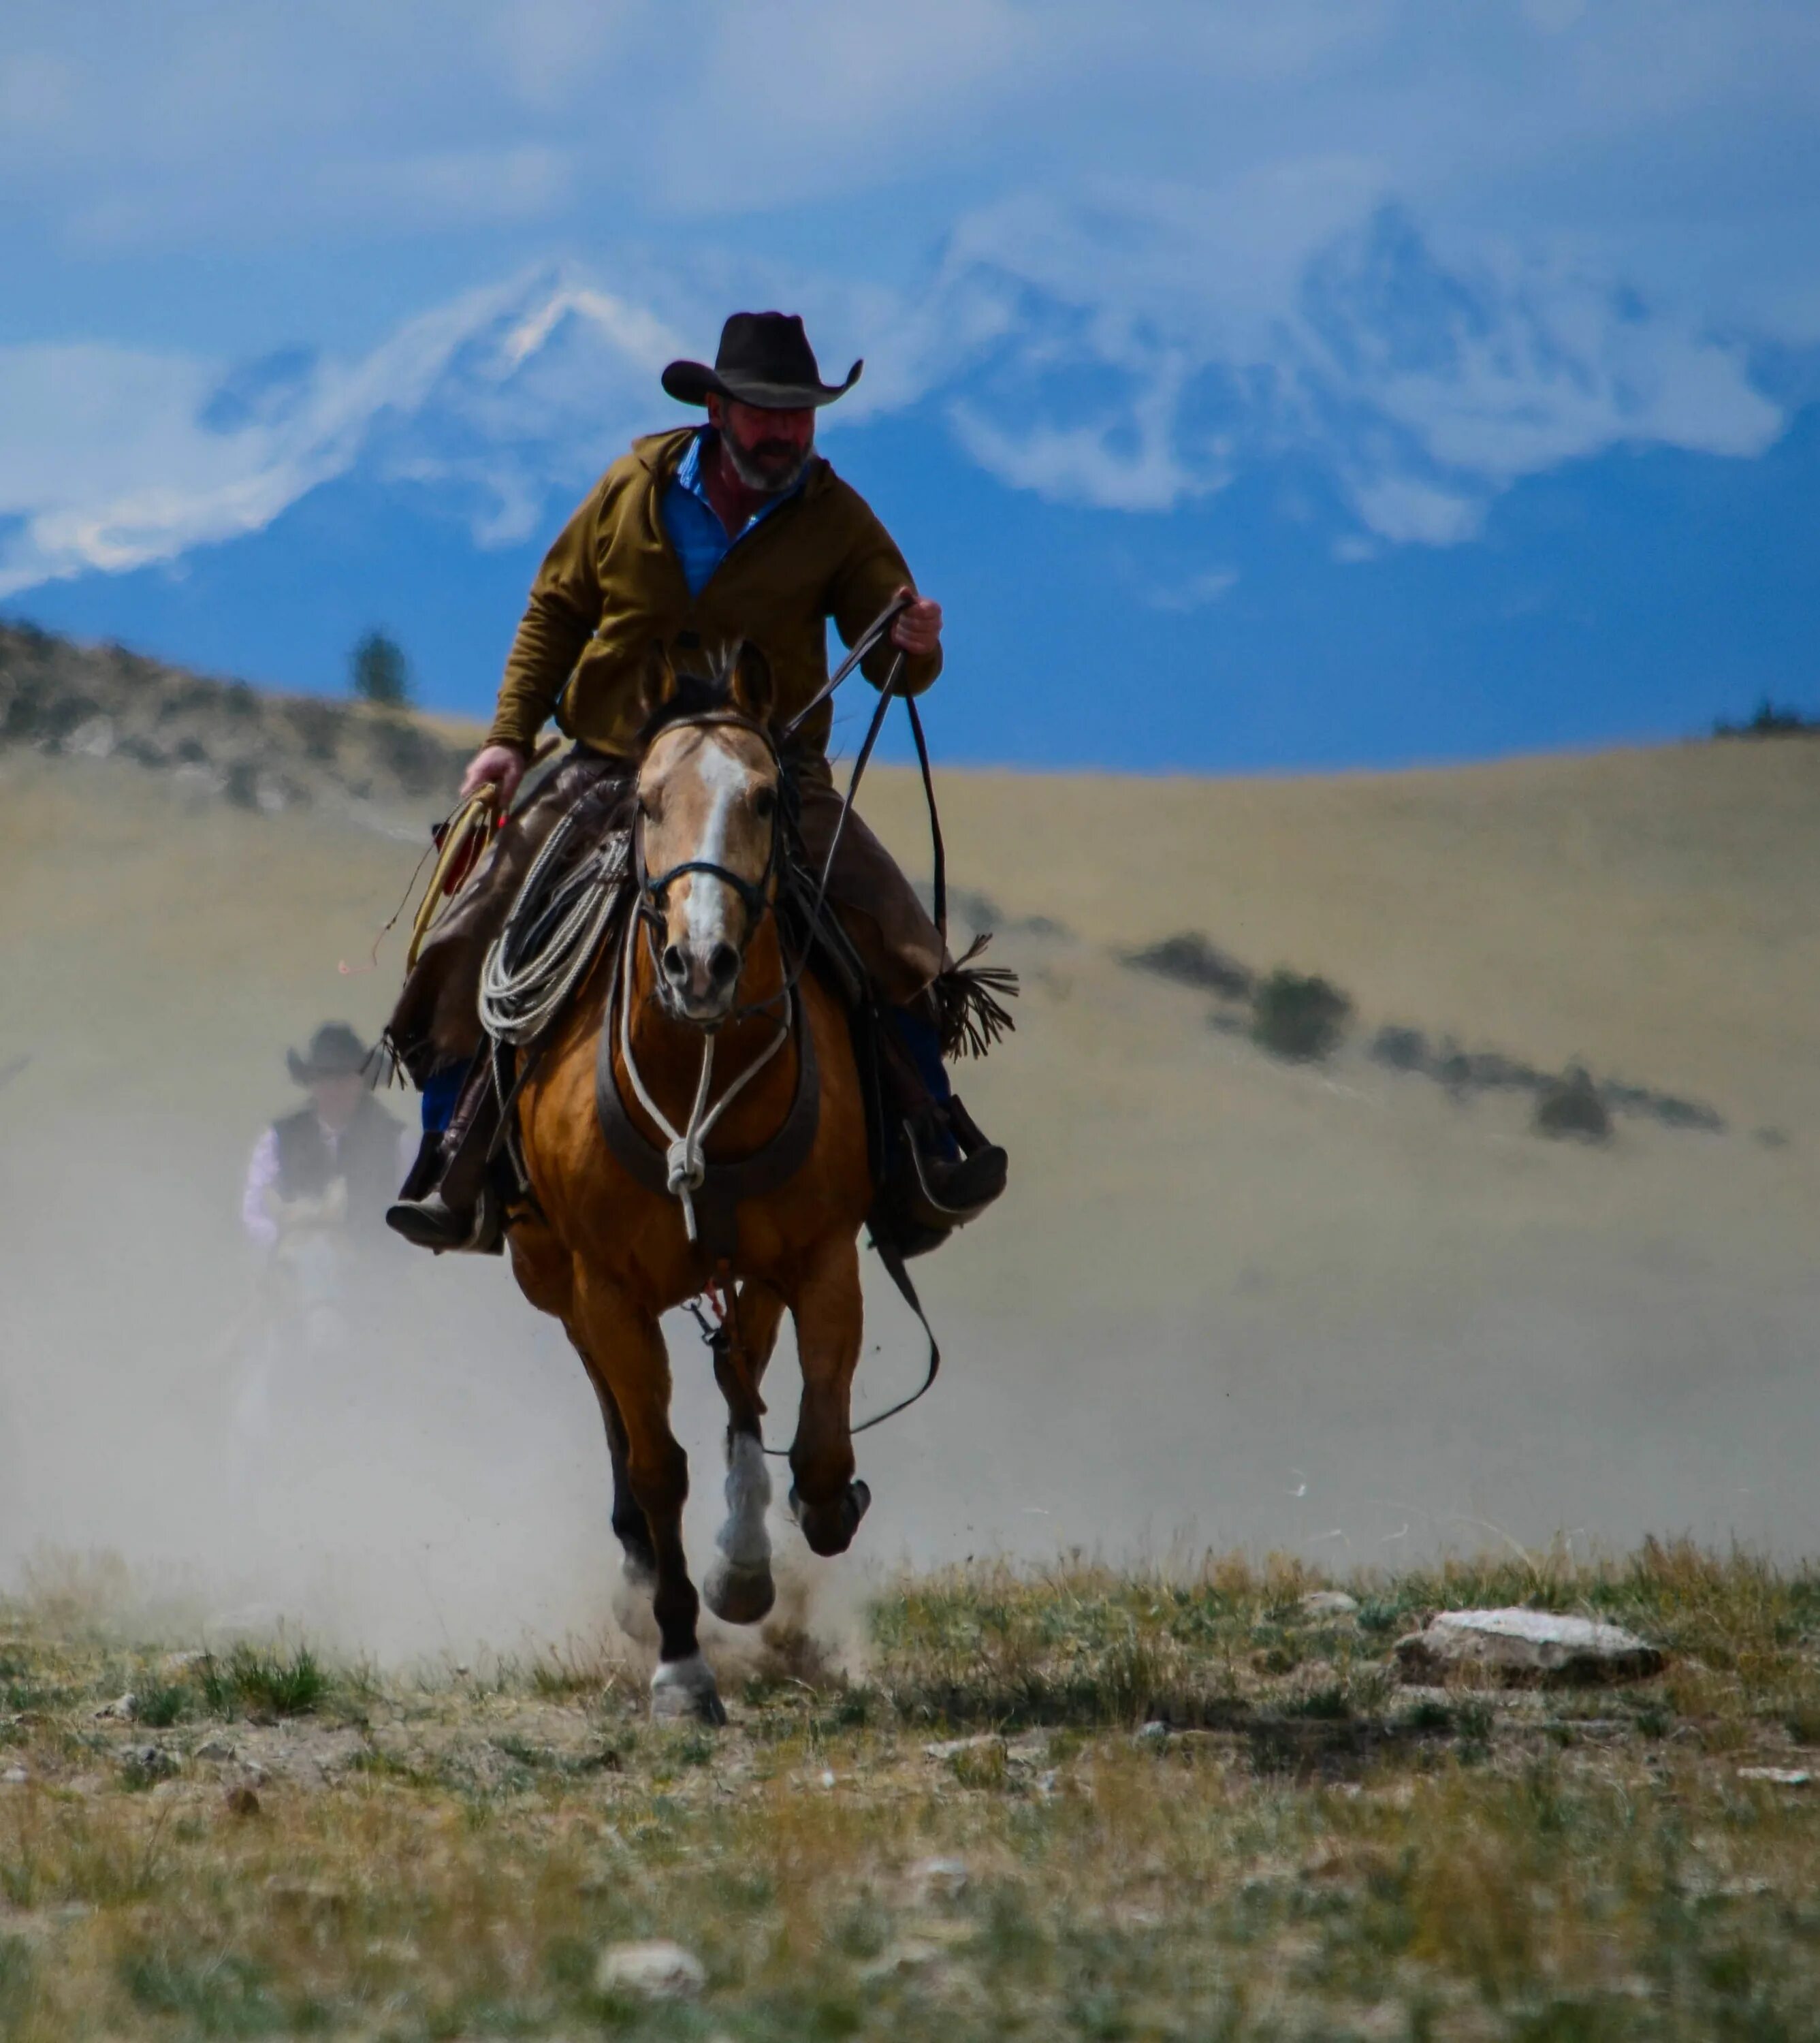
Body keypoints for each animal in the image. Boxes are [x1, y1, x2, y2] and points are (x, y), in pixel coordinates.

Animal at [505, 642, 882, 1724]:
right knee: (617, 1406)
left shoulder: (818, 1256)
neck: (694, 1068)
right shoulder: (606, 1286)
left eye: (763, 796)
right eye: (643, 802)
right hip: (550, 1274)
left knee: (740, 1381)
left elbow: (818, 1444)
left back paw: (745, 1562)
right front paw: (679, 1662)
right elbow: (655, 1463)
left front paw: (759, 1558)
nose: (700, 962)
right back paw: (644, 1575)